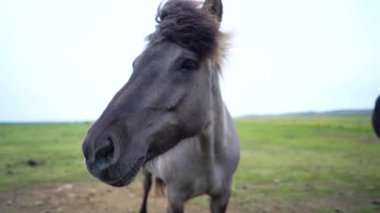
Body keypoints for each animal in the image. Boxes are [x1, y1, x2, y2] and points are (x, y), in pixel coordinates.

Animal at [81, 0, 239, 212]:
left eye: (189, 64)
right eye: (135, 64)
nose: (95, 150)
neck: (210, 156)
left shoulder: (222, 197)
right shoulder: (175, 198)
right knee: (147, 187)